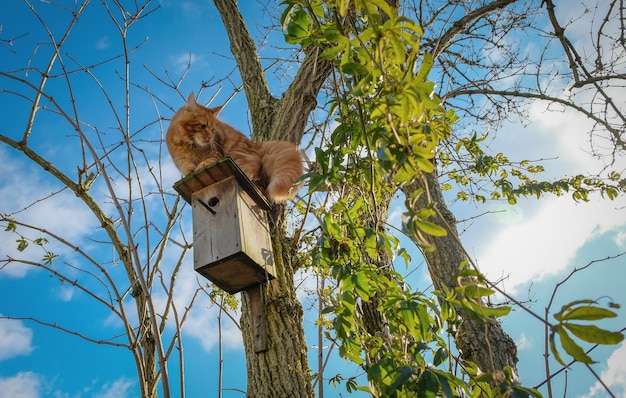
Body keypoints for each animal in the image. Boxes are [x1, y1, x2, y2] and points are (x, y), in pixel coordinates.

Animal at [166, 91, 302, 201]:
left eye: (213, 130)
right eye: (203, 126)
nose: (210, 137)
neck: (191, 145)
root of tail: (255, 144)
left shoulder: (216, 153)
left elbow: (207, 161)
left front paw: (201, 165)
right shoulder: (179, 159)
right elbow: (185, 165)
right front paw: (190, 169)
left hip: (236, 154)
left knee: (251, 170)